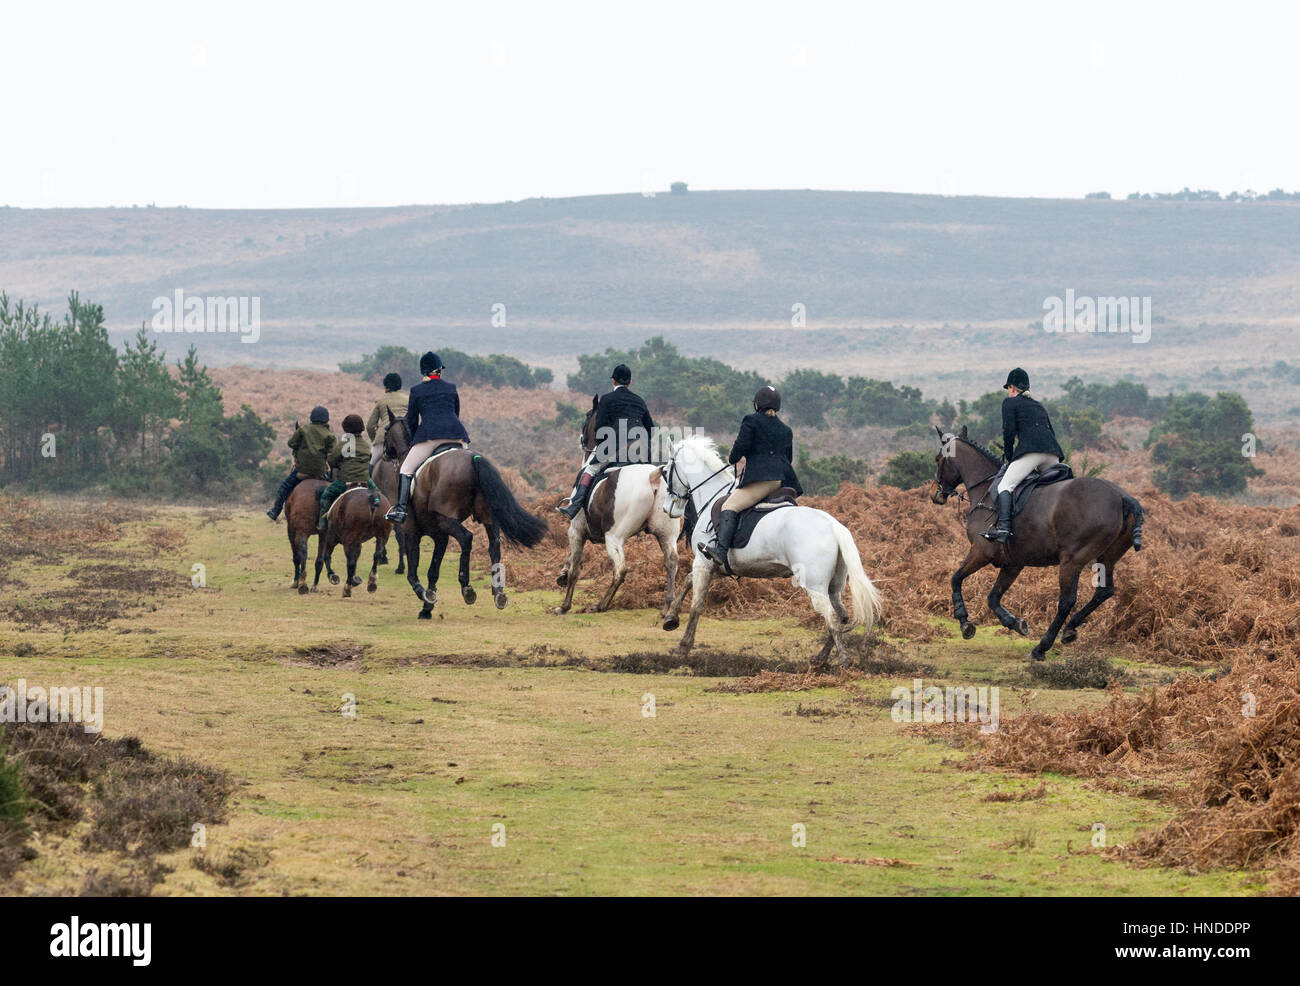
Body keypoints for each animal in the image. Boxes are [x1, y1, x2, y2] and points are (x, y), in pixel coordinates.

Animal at [382, 416, 551, 619]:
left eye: (385, 430)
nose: (384, 454)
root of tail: (473, 459)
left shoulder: (412, 532)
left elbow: (413, 573)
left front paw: (424, 596)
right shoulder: (440, 536)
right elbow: (433, 571)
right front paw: (428, 605)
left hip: (447, 519)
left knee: (467, 538)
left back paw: (467, 588)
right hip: (487, 517)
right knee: (494, 545)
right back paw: (498, 592)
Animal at [553, 395, 686, 613]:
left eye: (588, 416)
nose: (581, 440)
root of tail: (652, 477)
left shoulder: (576, 530)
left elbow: (575, 568)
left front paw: (564, 606)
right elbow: (570, 561)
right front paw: (562, 574)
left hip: (614, 536)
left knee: (620, 570)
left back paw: (601, 605)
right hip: (666, 534)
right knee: (671, 562)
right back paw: (667, 605)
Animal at [660, 434, 883, 660]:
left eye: (666, 471)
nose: (667, 508)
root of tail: (834, 525)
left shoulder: (704, 564)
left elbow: (696, 606)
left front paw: (683, 646)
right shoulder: (716, 567)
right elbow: (687, 581)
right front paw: (670, 618)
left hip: (815, 585)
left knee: (832, 616)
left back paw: (842, 659)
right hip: (834, 586)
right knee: (841, 615)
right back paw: (822, 656)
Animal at [930, 426, 1144, 663]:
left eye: (938, 459)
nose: (935, 494)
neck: (986, 490)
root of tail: (1121, 496)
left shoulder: (980, 551)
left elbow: (956, 579)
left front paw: (964, 622)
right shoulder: (1013, 564)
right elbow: (993, 597)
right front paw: (1015, 623)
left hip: (1072, 561)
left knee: (1066, 601)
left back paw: (1041, 647)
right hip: (1108, 557)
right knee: (1104, 591)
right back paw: (1069, 630)